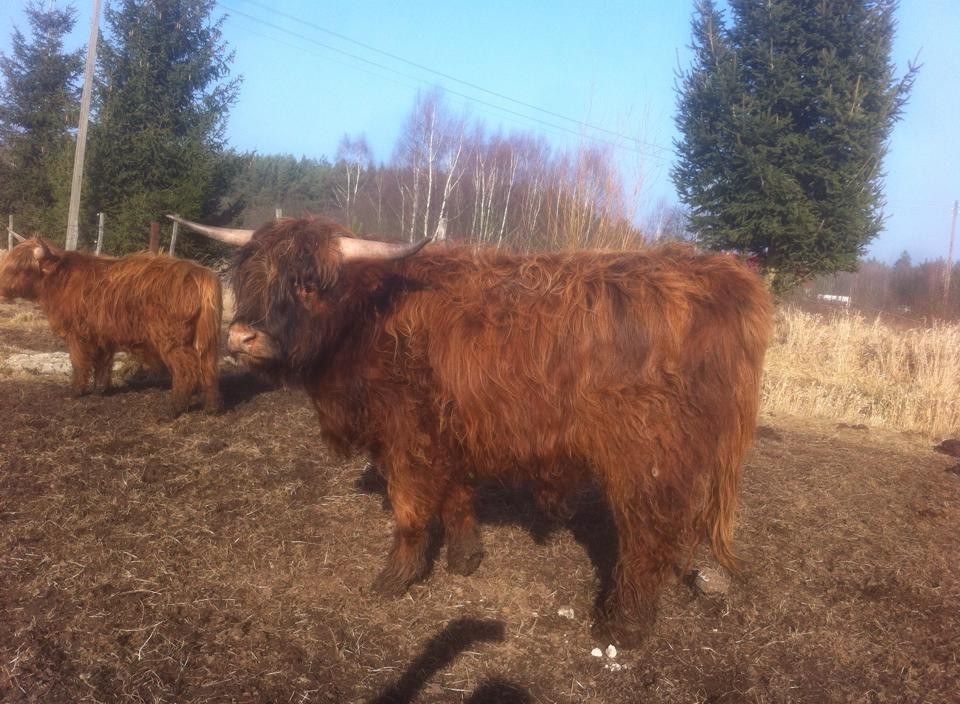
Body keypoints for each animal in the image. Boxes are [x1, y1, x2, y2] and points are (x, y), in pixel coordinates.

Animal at [0, 235, 222, 417]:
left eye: (18, 268)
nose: (0, 289)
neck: (59, 280)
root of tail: (198, 272)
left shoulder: (77, 335)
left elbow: (79, 362)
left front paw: (77, 391)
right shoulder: (101, 335)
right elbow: (103, 363)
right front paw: (101, 389)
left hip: (171, 339)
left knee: (187, 369)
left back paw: (174, 408)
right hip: (205, 338)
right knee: (208, 367)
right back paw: (210, 408)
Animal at [174, 214, 772, 647]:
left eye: (306, 284)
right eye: (248, 278)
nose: (242, 337)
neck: (370, 320)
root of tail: (718, 278)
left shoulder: (405, 435)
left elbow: (410, 511)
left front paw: (397, 576)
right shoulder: (448, 428)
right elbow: (456, 496)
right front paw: (464, 559)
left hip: (648, 457)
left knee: (646, 535)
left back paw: (624, 627)